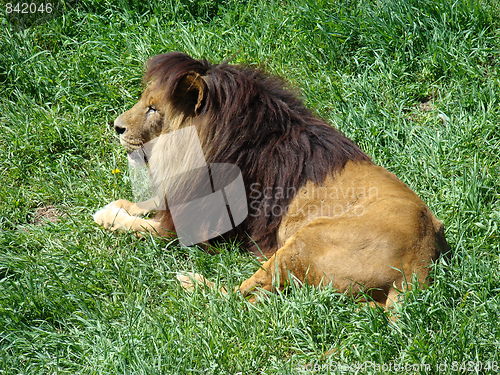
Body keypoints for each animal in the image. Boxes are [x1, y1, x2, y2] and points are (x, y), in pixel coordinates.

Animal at [94, 52, 450, 308]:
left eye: (154, 109)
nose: (117, 126)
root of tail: (420, 261)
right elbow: (148, 204)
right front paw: (122, 204)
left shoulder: (195, 225)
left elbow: (141, 226)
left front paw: (107, 215)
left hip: (303, 241)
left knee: (239, 299)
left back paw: (191, 282)